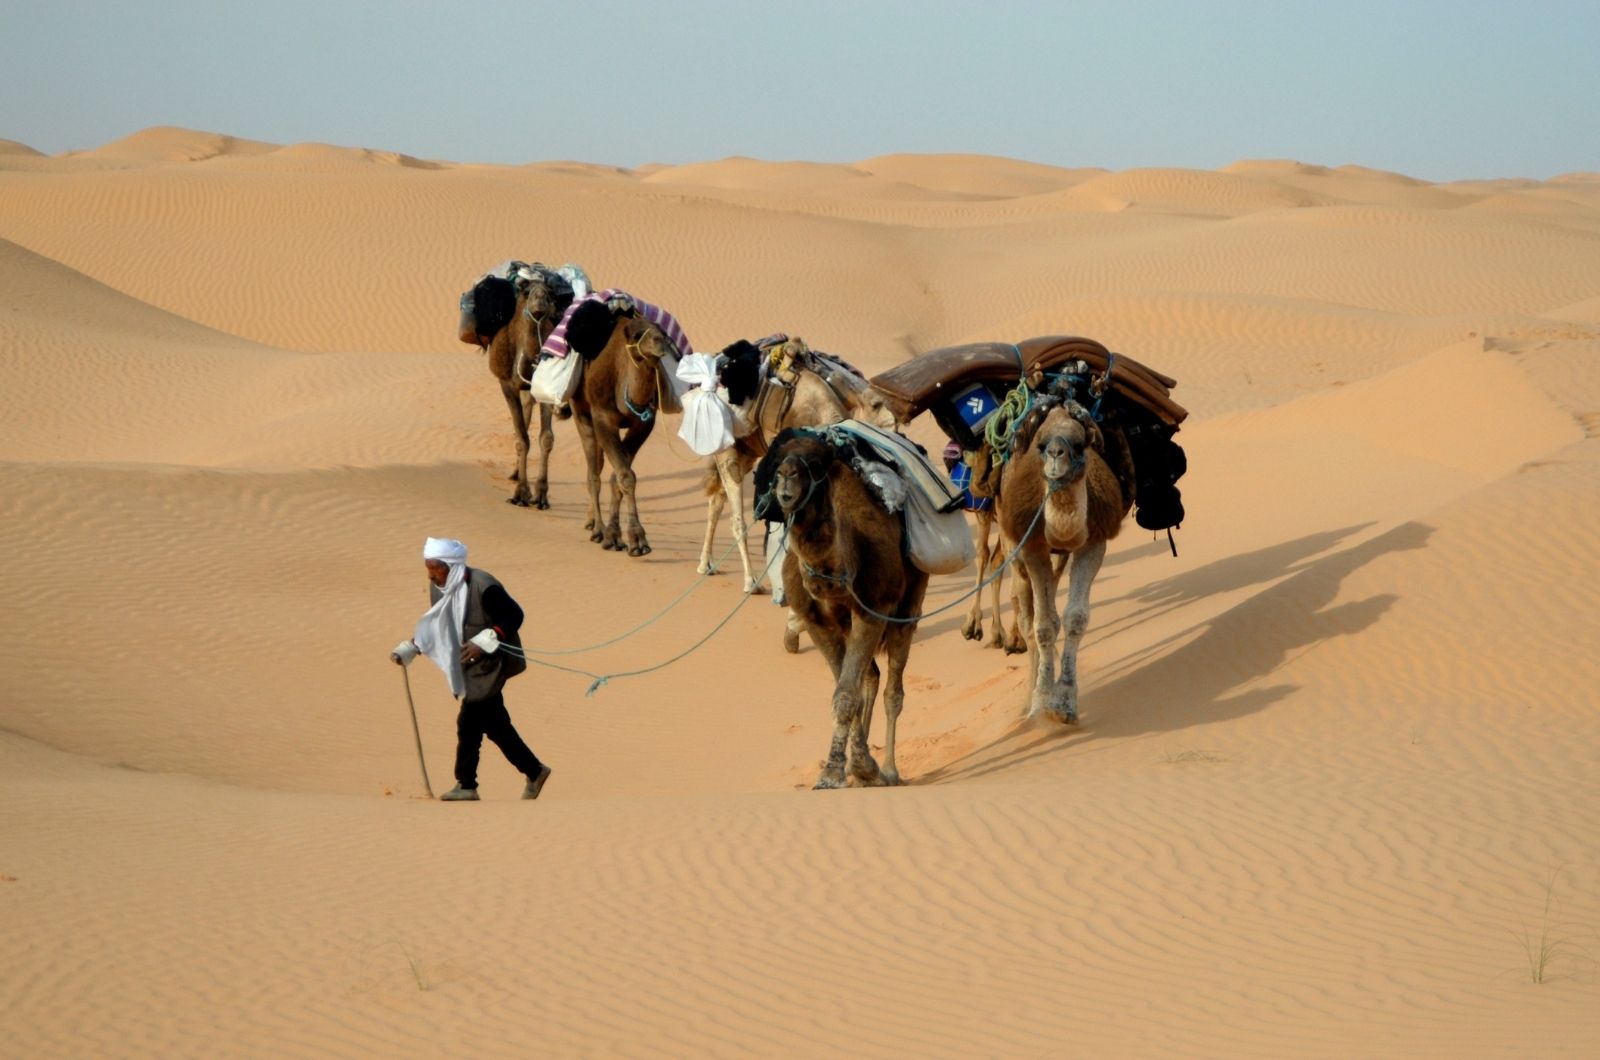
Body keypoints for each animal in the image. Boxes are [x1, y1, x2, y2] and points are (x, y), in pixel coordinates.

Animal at [454, 265, 572, 515]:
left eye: (550, 294)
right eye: (527, 293)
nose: (539, 303)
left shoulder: (546, 388)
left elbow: (546, 438)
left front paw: (541, 496)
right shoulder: (506, 384)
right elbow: (521, 439)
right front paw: (520, 494)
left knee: (527, 411)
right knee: (522, 427)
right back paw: (516, 474)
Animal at [758, 429, 934, 787]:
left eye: (816, 462)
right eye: (779, 458)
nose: (787, 476)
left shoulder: (872, 609)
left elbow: (846, 695)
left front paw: (837, 772)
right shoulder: (816, 621)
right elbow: (845, 690)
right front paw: (857, 766)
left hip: (909, 603)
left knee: (893, 689)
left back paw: (890, 770)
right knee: (871, 676)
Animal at [992, 403, 1132, 726]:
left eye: (1080, 444)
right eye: (1041, 445)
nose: (1057, 453)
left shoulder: (1094, 541)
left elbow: (1075, 617)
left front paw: (1063, 702)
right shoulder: (1032, 545)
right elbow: (1043, 625)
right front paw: (1040, 701)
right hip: (1012, 546)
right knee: (1024, 613)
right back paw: (1026, 703)